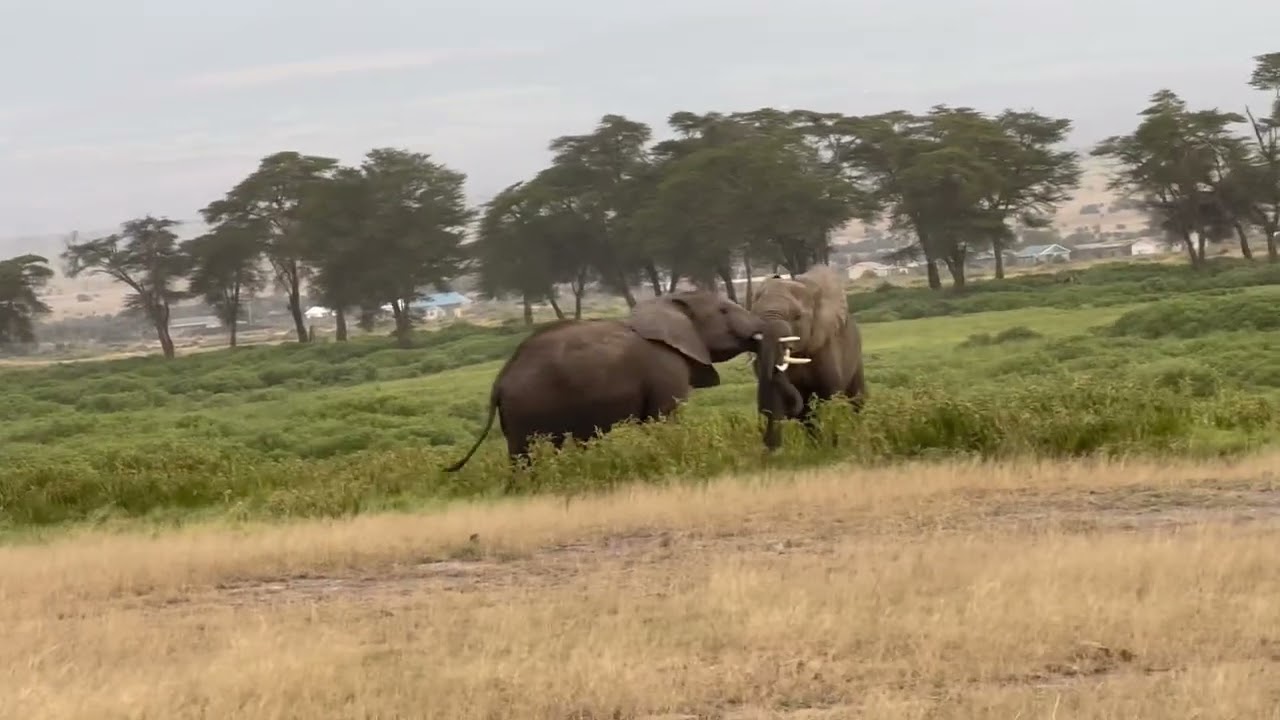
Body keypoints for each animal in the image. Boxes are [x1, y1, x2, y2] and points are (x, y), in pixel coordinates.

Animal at [442, 290, 767, 473]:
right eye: (724, 310)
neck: (670, 303)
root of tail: (500, 380)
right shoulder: (666, 367)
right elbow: (663, 419)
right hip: (529, 405)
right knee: (532, 450)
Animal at [750, 264, 866, 450]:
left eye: (797, 317)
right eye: (753, 315)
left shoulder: (826, 345)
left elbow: (829, 396)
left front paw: (833, 448)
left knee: (856, 399)